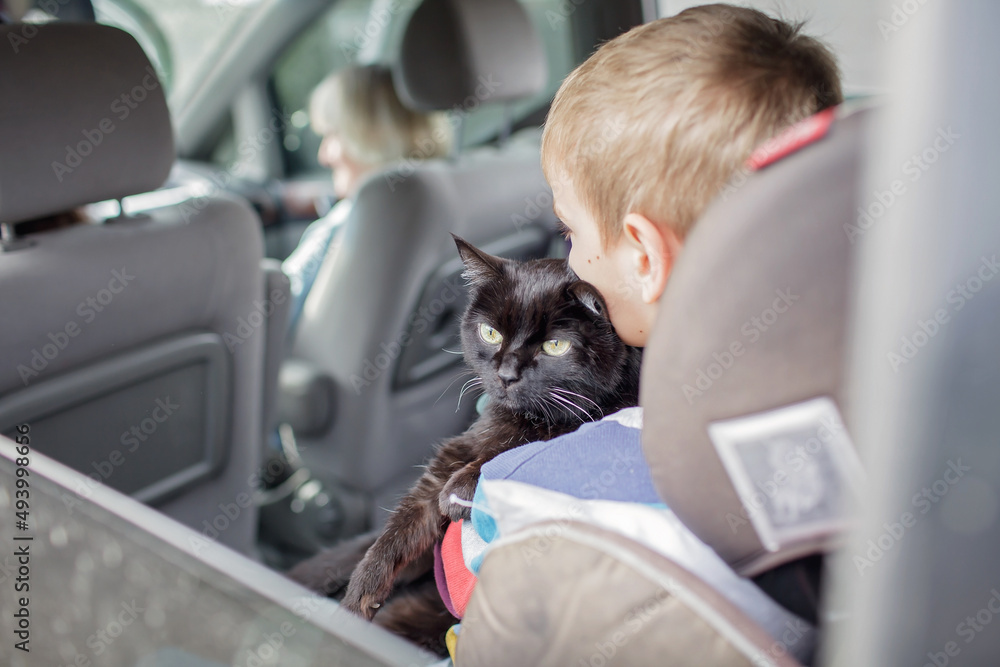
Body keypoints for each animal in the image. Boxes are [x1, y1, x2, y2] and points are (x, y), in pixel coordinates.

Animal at [290, 237, 640, 656]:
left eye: (556, 346)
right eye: (491, 334)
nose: (506, 374)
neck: (518, 418)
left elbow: (548, 436)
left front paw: (461, 488)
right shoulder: (455, 452)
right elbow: (401, 527)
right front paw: (360, 595)